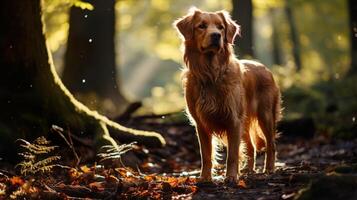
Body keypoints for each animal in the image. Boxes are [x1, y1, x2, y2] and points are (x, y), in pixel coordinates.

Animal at [173, 9, 280, 184]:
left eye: (221, 27)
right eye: (201, 26)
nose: (216, 35)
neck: (211, 74)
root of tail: (264, 67)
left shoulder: (233, 120)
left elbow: (232, 154)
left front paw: (231, 176)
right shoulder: (201, 123)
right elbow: (206, 155)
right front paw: (205, 177)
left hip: (265, 115)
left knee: (271, 144)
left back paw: (269, 169)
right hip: (245, 121)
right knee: (251, 146)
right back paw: (248, 170)